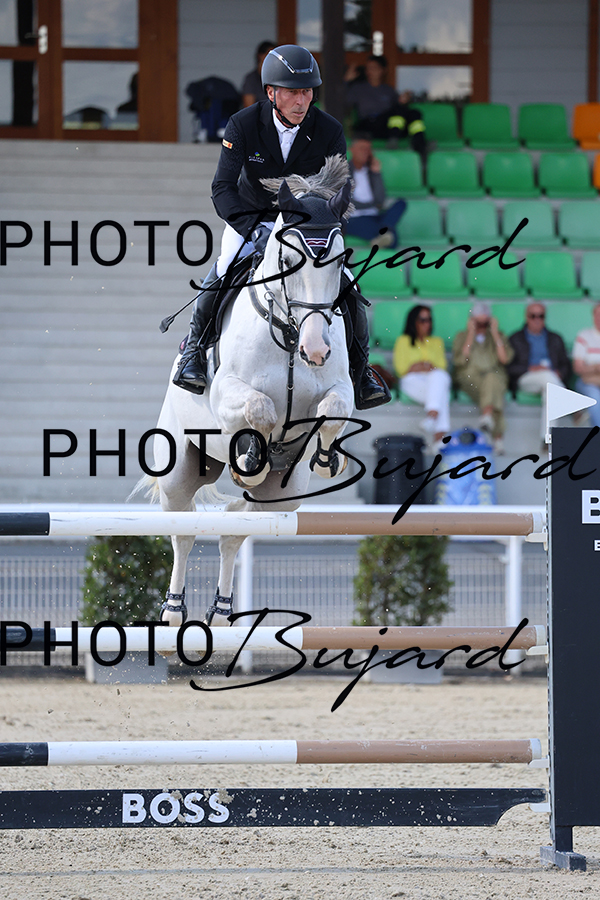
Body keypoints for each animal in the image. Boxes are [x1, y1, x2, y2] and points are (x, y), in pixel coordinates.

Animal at [146, 155, 355, 627]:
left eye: (338, 263)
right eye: (287, 257)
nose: (316, 350)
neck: (289, 332)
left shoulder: (341, 390)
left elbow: (332, 406)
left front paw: (326, 458)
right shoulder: (227, 397)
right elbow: (260, 409)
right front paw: (250, 458)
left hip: (284, 497)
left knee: (234, 527)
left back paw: (223, 611)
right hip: (179, 470)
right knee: (183, 532)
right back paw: (173, 611)